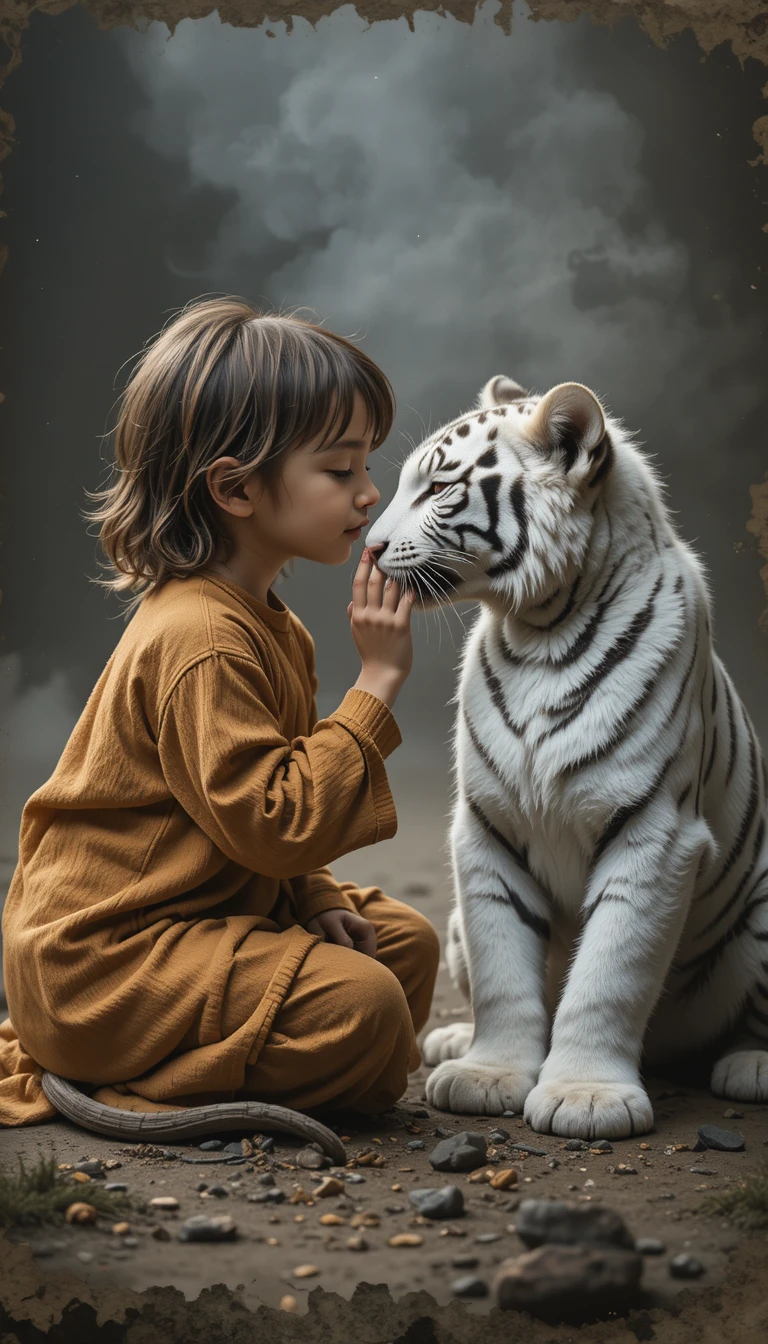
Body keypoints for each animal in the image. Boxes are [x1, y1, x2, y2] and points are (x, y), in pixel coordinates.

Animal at [364, 374, 768, 1139]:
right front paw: (487, 1074)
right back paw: (448, 1042)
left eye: (439, 488)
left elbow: (609, 972)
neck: (540, 633)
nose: (366, 549)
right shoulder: (487, 827)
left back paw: (751, 1065)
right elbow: (501, 965)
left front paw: (586, 1095)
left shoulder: (654, 832)